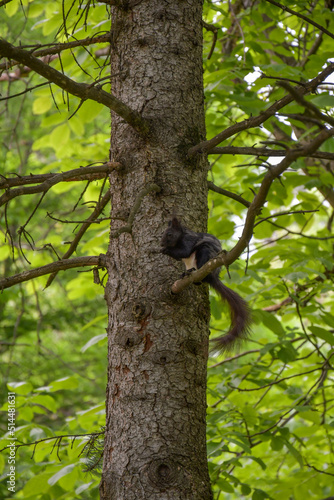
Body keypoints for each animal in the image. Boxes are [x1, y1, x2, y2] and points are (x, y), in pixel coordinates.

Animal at [161, 217, 250, 354]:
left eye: (169, 234)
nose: (161, 244)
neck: (179, 238)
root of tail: (213, 277)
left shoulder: (189, 240)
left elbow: (184, 251)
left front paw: (165, 250)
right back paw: (185, 273)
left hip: (205, 252)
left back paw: (193, 273)